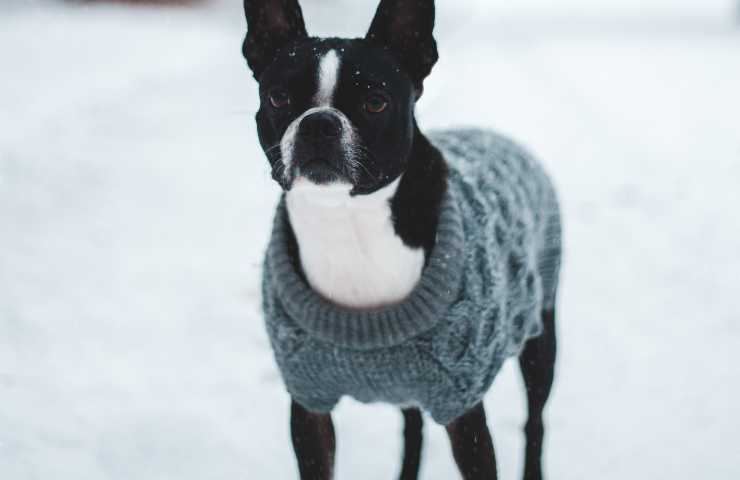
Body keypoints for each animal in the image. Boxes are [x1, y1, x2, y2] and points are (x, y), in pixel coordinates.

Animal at [243, 0, 560, 480]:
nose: (318, 123)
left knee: (535, 418)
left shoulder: (462, 409)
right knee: (413, 426)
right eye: (278, 97)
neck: (347, 220)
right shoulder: (309, 405)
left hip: (541, 337)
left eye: (375, 102)